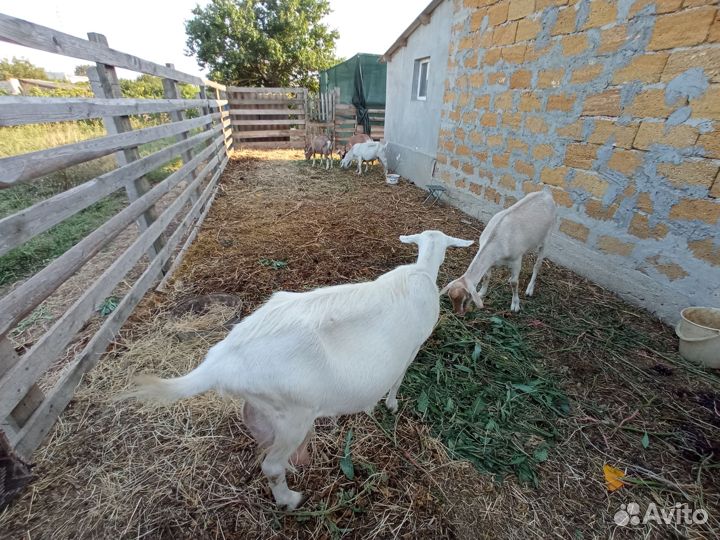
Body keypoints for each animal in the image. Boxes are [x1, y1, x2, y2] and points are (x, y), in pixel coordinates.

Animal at [122, 230, 473, 510]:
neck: (422, 270)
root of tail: (220, 361)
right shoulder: (413, 347)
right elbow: (398, 378)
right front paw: (390, 404)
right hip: (293, 414)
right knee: (272, 466)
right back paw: (289, 499)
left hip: (264, 407)